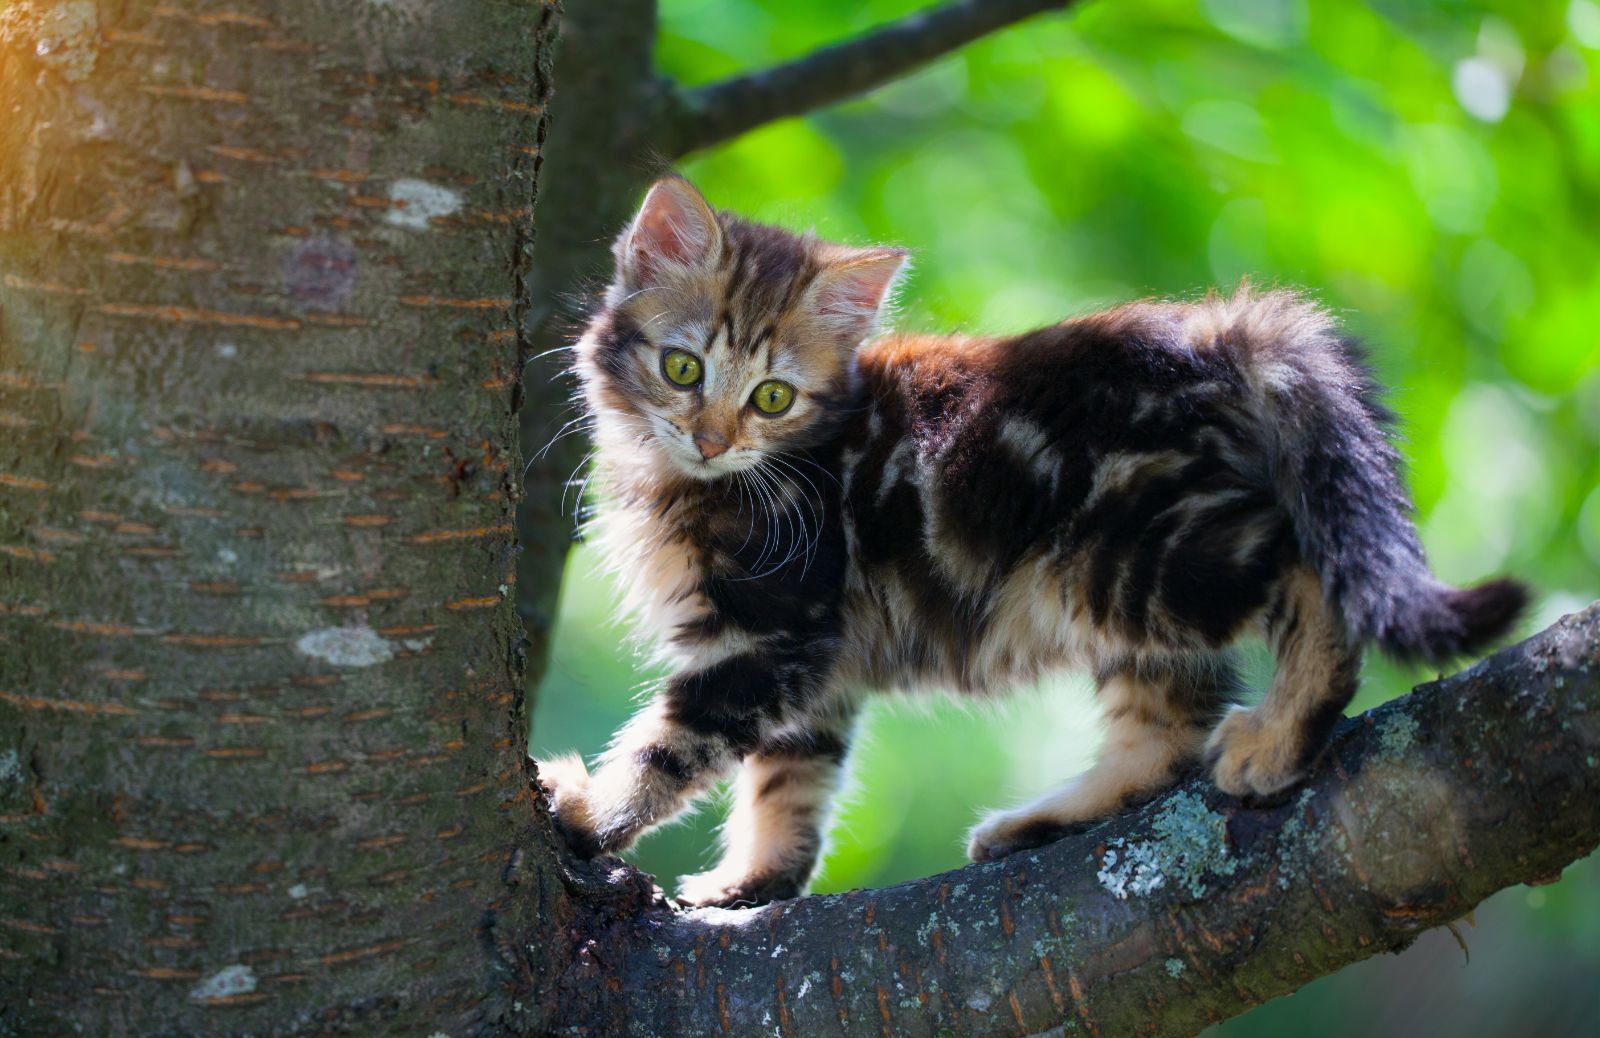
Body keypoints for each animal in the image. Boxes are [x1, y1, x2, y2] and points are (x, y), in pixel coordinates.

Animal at [537, 178, 1523, 908]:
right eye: (683, 369)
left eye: (771, 397)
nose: (710, 440)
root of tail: (1212, 330)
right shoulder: (819, 662)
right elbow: (788, 781)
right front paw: (752, 881)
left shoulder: (771, 633)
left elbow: (674, 744)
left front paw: (585, 812)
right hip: (1130, 586)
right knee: (1167, 733)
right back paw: (1042, 820)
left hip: (1131, 561)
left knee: (1309, 580)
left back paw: (1280, 740)